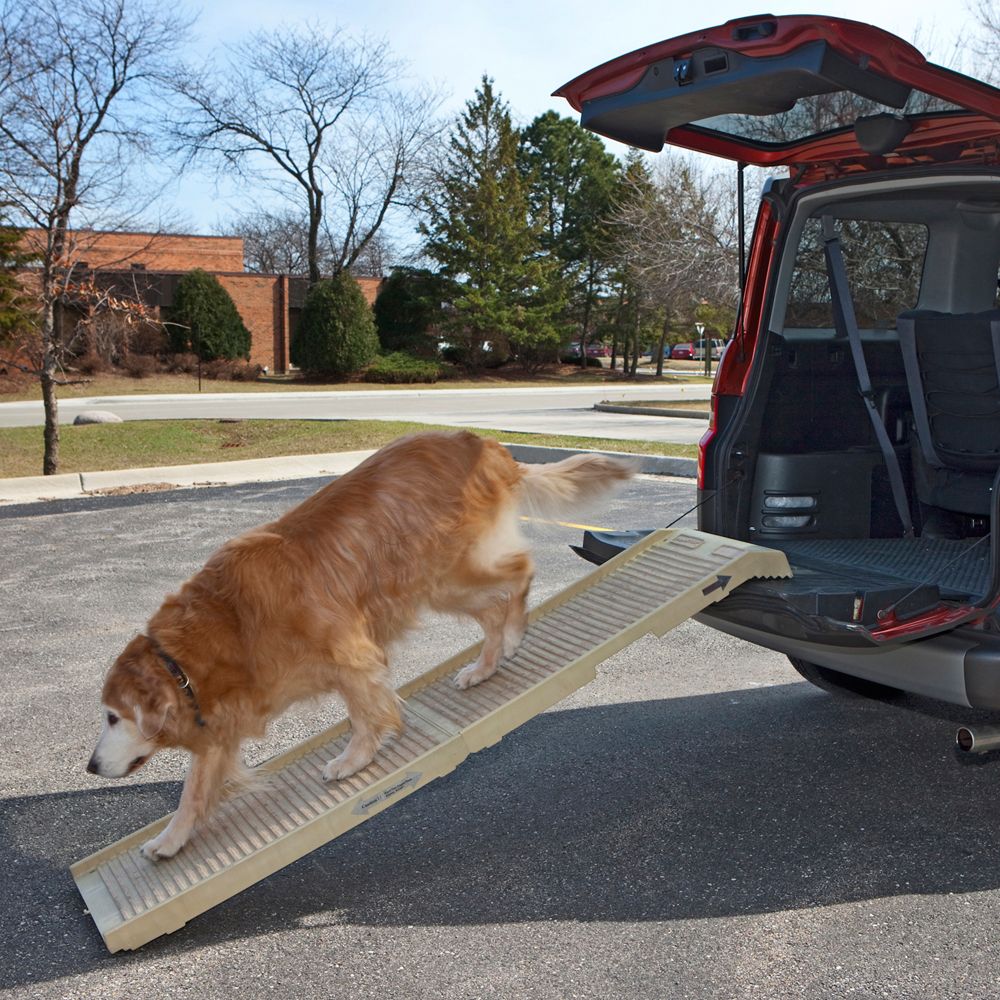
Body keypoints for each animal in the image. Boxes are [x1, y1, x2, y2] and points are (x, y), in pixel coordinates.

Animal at [86, 430, 632, 860]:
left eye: (113, 717)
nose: (89, 766)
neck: (228, 627)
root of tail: (485, 445)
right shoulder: (221, 718)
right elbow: (193, 790)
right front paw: (170, 840)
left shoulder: (351, 654)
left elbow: (365, 711)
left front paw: (354, 760)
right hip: (438, 584)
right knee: (495, 609)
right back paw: (483, 667)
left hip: (449, 571)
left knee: (520, 573)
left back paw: (515, 634)